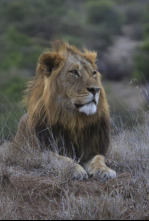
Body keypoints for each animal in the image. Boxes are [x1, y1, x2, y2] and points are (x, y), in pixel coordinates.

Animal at [13, 41, 116, 181]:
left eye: (93, 73)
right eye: (74, 72)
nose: (96, 89)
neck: (75, 120)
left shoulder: (93, 148)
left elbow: (99, 159)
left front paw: (105, 170)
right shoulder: (38, 151)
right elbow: (60, 158)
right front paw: (75, 169)